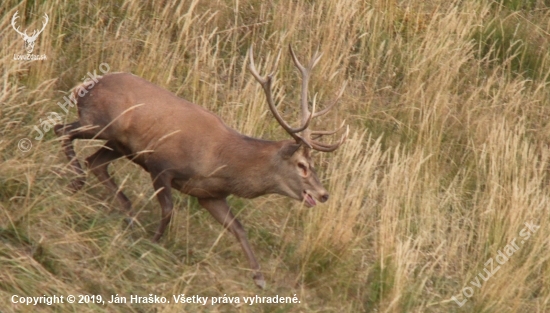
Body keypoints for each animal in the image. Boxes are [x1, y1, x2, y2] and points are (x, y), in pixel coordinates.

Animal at [55, 44, 350, 288]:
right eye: (302, 165)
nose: (324, 194)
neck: (220, 161)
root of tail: (83, 86)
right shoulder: (161, 164)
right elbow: (168, 209)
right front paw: (152, 243)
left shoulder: (210, 195)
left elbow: (238, 228)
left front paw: (259, 278)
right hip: (101, 122)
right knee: (62, 130)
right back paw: (78, 183)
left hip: (118, 143)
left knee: (94, 162)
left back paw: (125, 213)